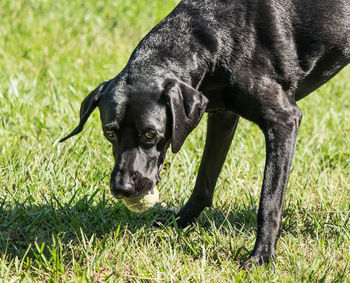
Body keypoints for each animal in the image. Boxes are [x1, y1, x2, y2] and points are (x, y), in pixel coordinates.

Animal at [60, 0, 350, 268]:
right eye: (110, 133)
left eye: (151, 135)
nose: (122, 188)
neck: (214, 36)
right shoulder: (222, 115)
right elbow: (205, 179)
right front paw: (180, 222)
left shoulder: (284, 120)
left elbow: (269, 201)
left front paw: (262, 256)